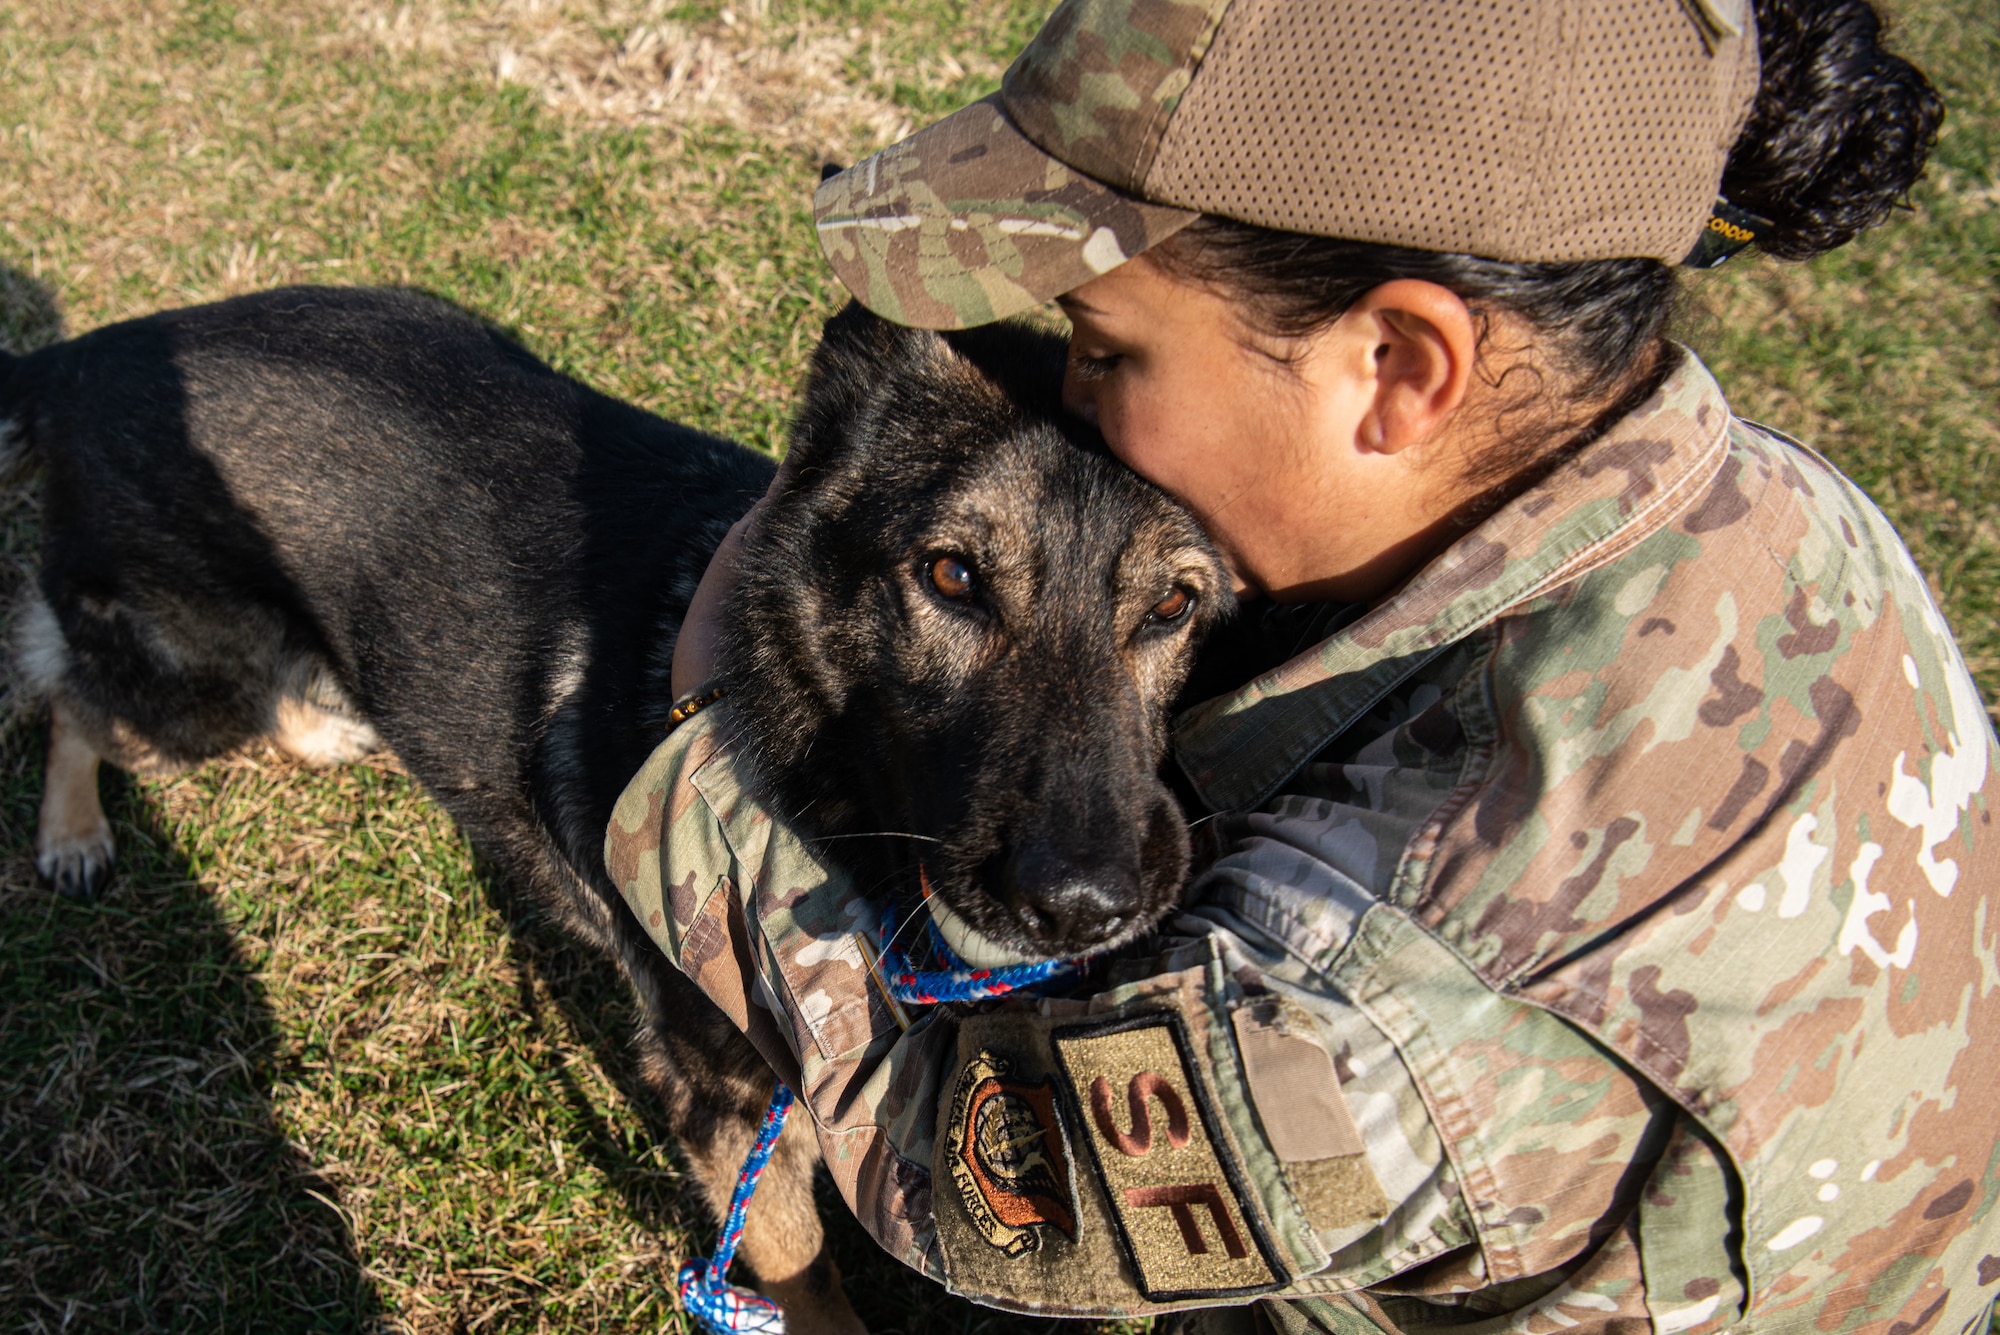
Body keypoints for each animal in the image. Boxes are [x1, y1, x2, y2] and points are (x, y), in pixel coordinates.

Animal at [0, 287, 1224, 1327]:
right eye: (952, 577)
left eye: (1174, 605)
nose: (1086, 906)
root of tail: (86, 355)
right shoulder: (727, 1107)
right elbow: (804, 1276)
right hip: (190, 687)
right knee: (66, 685)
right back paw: (72, 831)